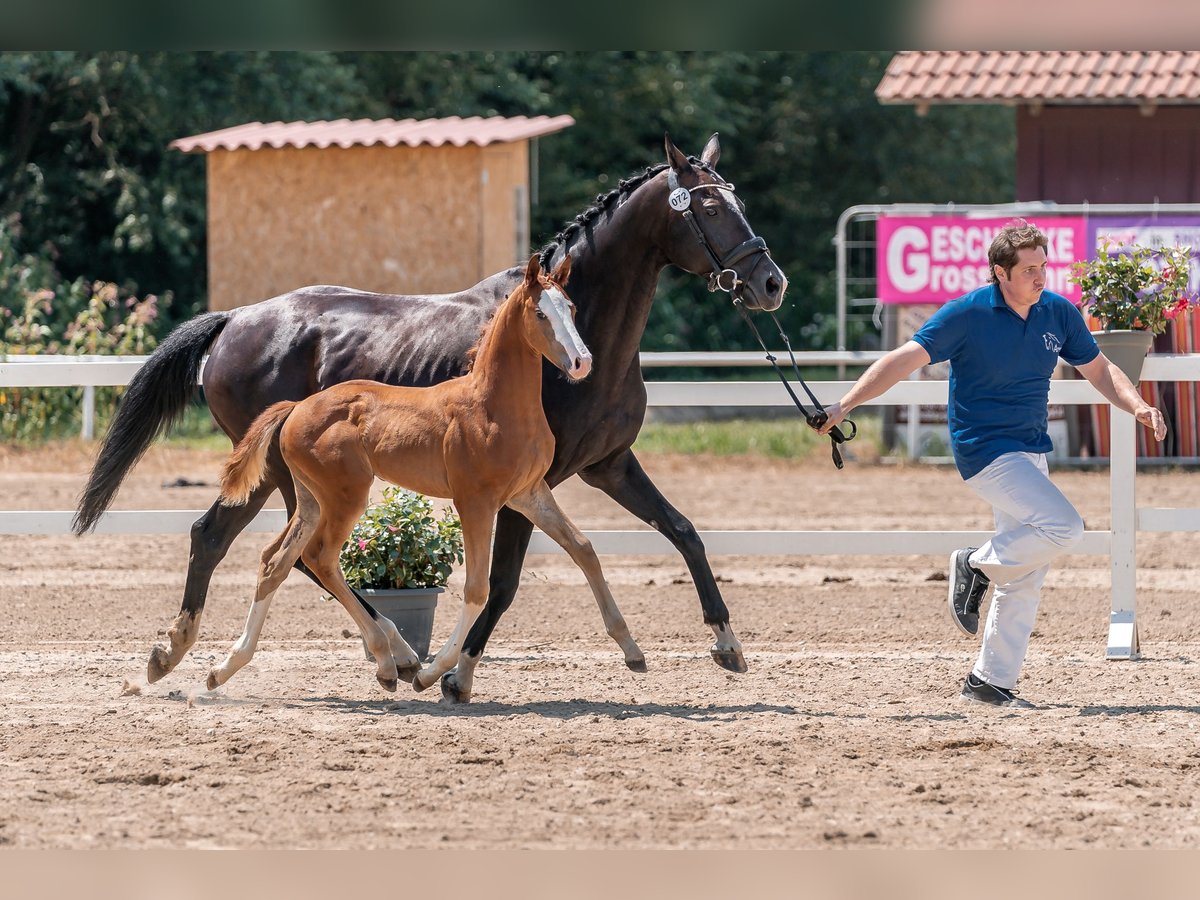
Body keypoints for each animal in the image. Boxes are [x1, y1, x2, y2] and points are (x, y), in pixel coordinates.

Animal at [216, 256, 648, 696]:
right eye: (541, 313)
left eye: (572, 309)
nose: (582, 363)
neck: (494, 406)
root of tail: (297, 407)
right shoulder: (476, 502)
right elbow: (478, 590)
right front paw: (435, 674)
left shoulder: (529, 493)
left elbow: (583, 548)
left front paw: (632, 650)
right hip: (345, 497)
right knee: (320, 559)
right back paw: (390, 663)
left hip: (311, 501)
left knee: (276, 561)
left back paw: (225, 667)